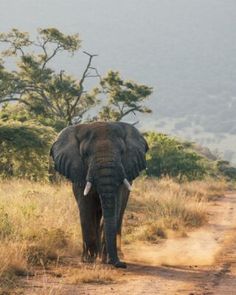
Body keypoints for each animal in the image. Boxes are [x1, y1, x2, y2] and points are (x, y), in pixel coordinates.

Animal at [50, 121, 148, 270]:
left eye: (122, 152)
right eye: (85, 154)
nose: (121, 265)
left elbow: (114, 208)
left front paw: (106, 259)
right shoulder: (79, 172)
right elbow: (86, 207)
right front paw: (88, 260)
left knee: (118, 214)